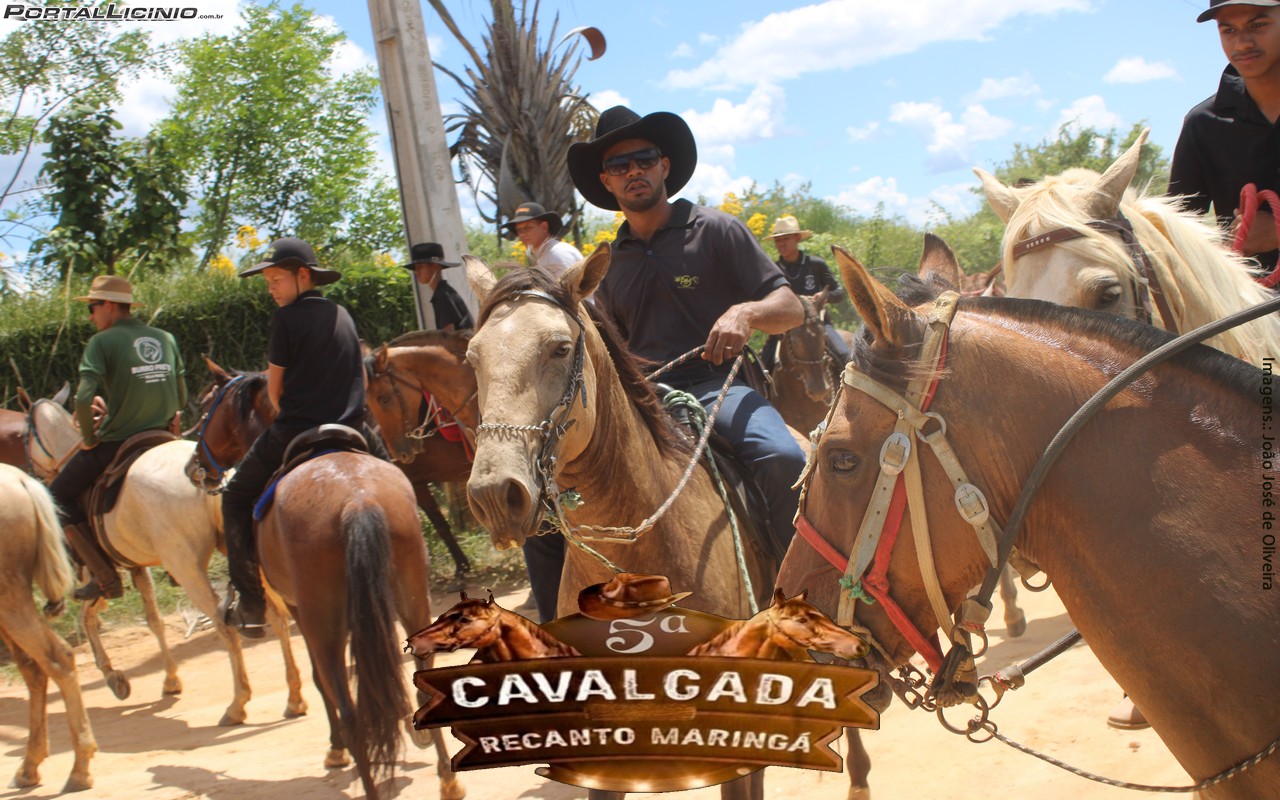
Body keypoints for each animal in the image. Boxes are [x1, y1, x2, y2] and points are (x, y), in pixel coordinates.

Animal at [0, 464, 96, 792]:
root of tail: (21, 480)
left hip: (10, 599)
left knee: (57, 658)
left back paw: (80, 768)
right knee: (34, 669)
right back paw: (30, 766)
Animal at [23, 392, 306, 725]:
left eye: (25, 435)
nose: (31, 471)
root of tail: (212, 480)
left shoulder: (99, 575)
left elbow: (87, 618)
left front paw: (113, 676)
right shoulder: (136, 568)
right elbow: (154, 621)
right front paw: (170, 679)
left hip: (185, 568)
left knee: (225, 624)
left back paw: (238, 703)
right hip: (239, 550)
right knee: (275, 615)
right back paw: (294, 697)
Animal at [189, 366, 464, 800]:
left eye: (204, 411)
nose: (195, 464)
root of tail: (358, 498)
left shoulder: (301, 609)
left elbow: (323, 681)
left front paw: (336, 749)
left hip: (323, 619)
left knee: (348, 706)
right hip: (411, 598)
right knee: (421, 683)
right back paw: (448, 781)